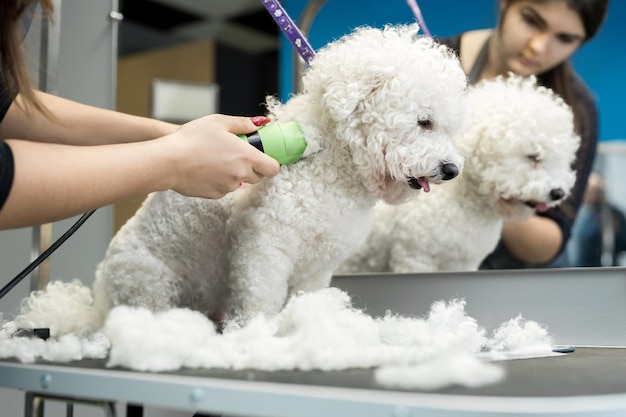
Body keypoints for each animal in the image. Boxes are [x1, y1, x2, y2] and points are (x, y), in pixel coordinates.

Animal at [12, 23, 466, 334]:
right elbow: (260, 296)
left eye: (448, 127)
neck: (333, 166)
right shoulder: (263, 248)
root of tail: (100, 300)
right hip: (147, 281)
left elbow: (307, 297)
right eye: (424, 122)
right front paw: (257, 334)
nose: (452, 169)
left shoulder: (317, 267)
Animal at [338, 74, 576, 272]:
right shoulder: (417, 257)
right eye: (533, 157)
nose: (558, 193)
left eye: (564, 160)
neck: (462, 204)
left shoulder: (466, 263)